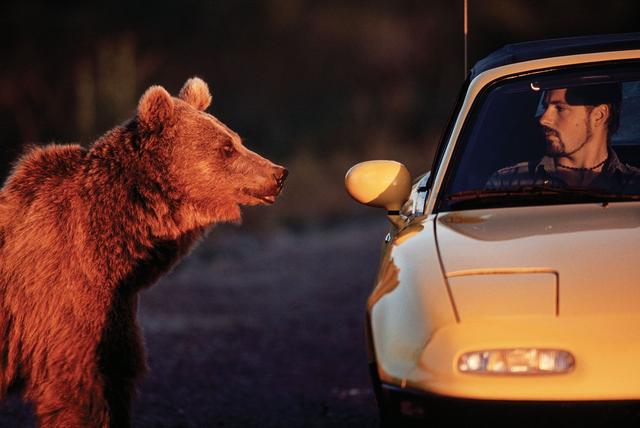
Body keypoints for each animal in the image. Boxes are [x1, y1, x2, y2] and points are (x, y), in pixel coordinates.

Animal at [0, 77, 288, 428]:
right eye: (226, 148)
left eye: (236, 139)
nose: (278, 174)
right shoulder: (62, 297)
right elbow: (80, 383)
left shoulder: (117, 306)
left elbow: (117, 372)